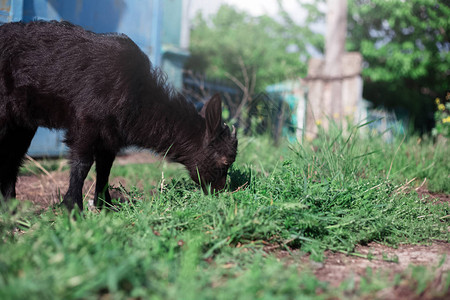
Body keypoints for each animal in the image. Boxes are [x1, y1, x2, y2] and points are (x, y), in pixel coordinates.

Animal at [0, 21, 237, 210]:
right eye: (225, 162)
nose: (219, 193)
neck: (136, 94)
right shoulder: (86, 122)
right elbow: (82, 164)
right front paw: (73, 207)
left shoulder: (110, 135)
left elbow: (105, 168)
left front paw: (106, 206)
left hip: (23, 123)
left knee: (13, 157)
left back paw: (11, 207)